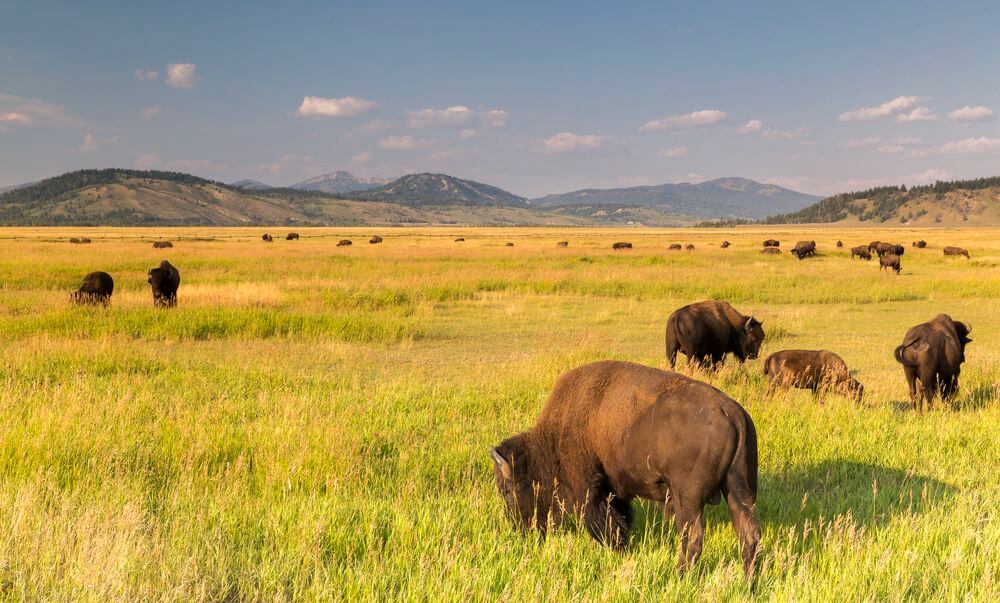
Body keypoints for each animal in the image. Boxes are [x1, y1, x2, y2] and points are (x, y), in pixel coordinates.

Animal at [491, 360, 760, 576]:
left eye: (507, 490)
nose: (519, 529)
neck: (552, 439)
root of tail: (731, 411)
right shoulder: (616, 491)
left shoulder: (589, 489)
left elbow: (605, 523)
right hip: (740, 492)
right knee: (749, 538)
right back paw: (749, 583)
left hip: (688, 500)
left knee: (693, 539)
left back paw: (679, 576)